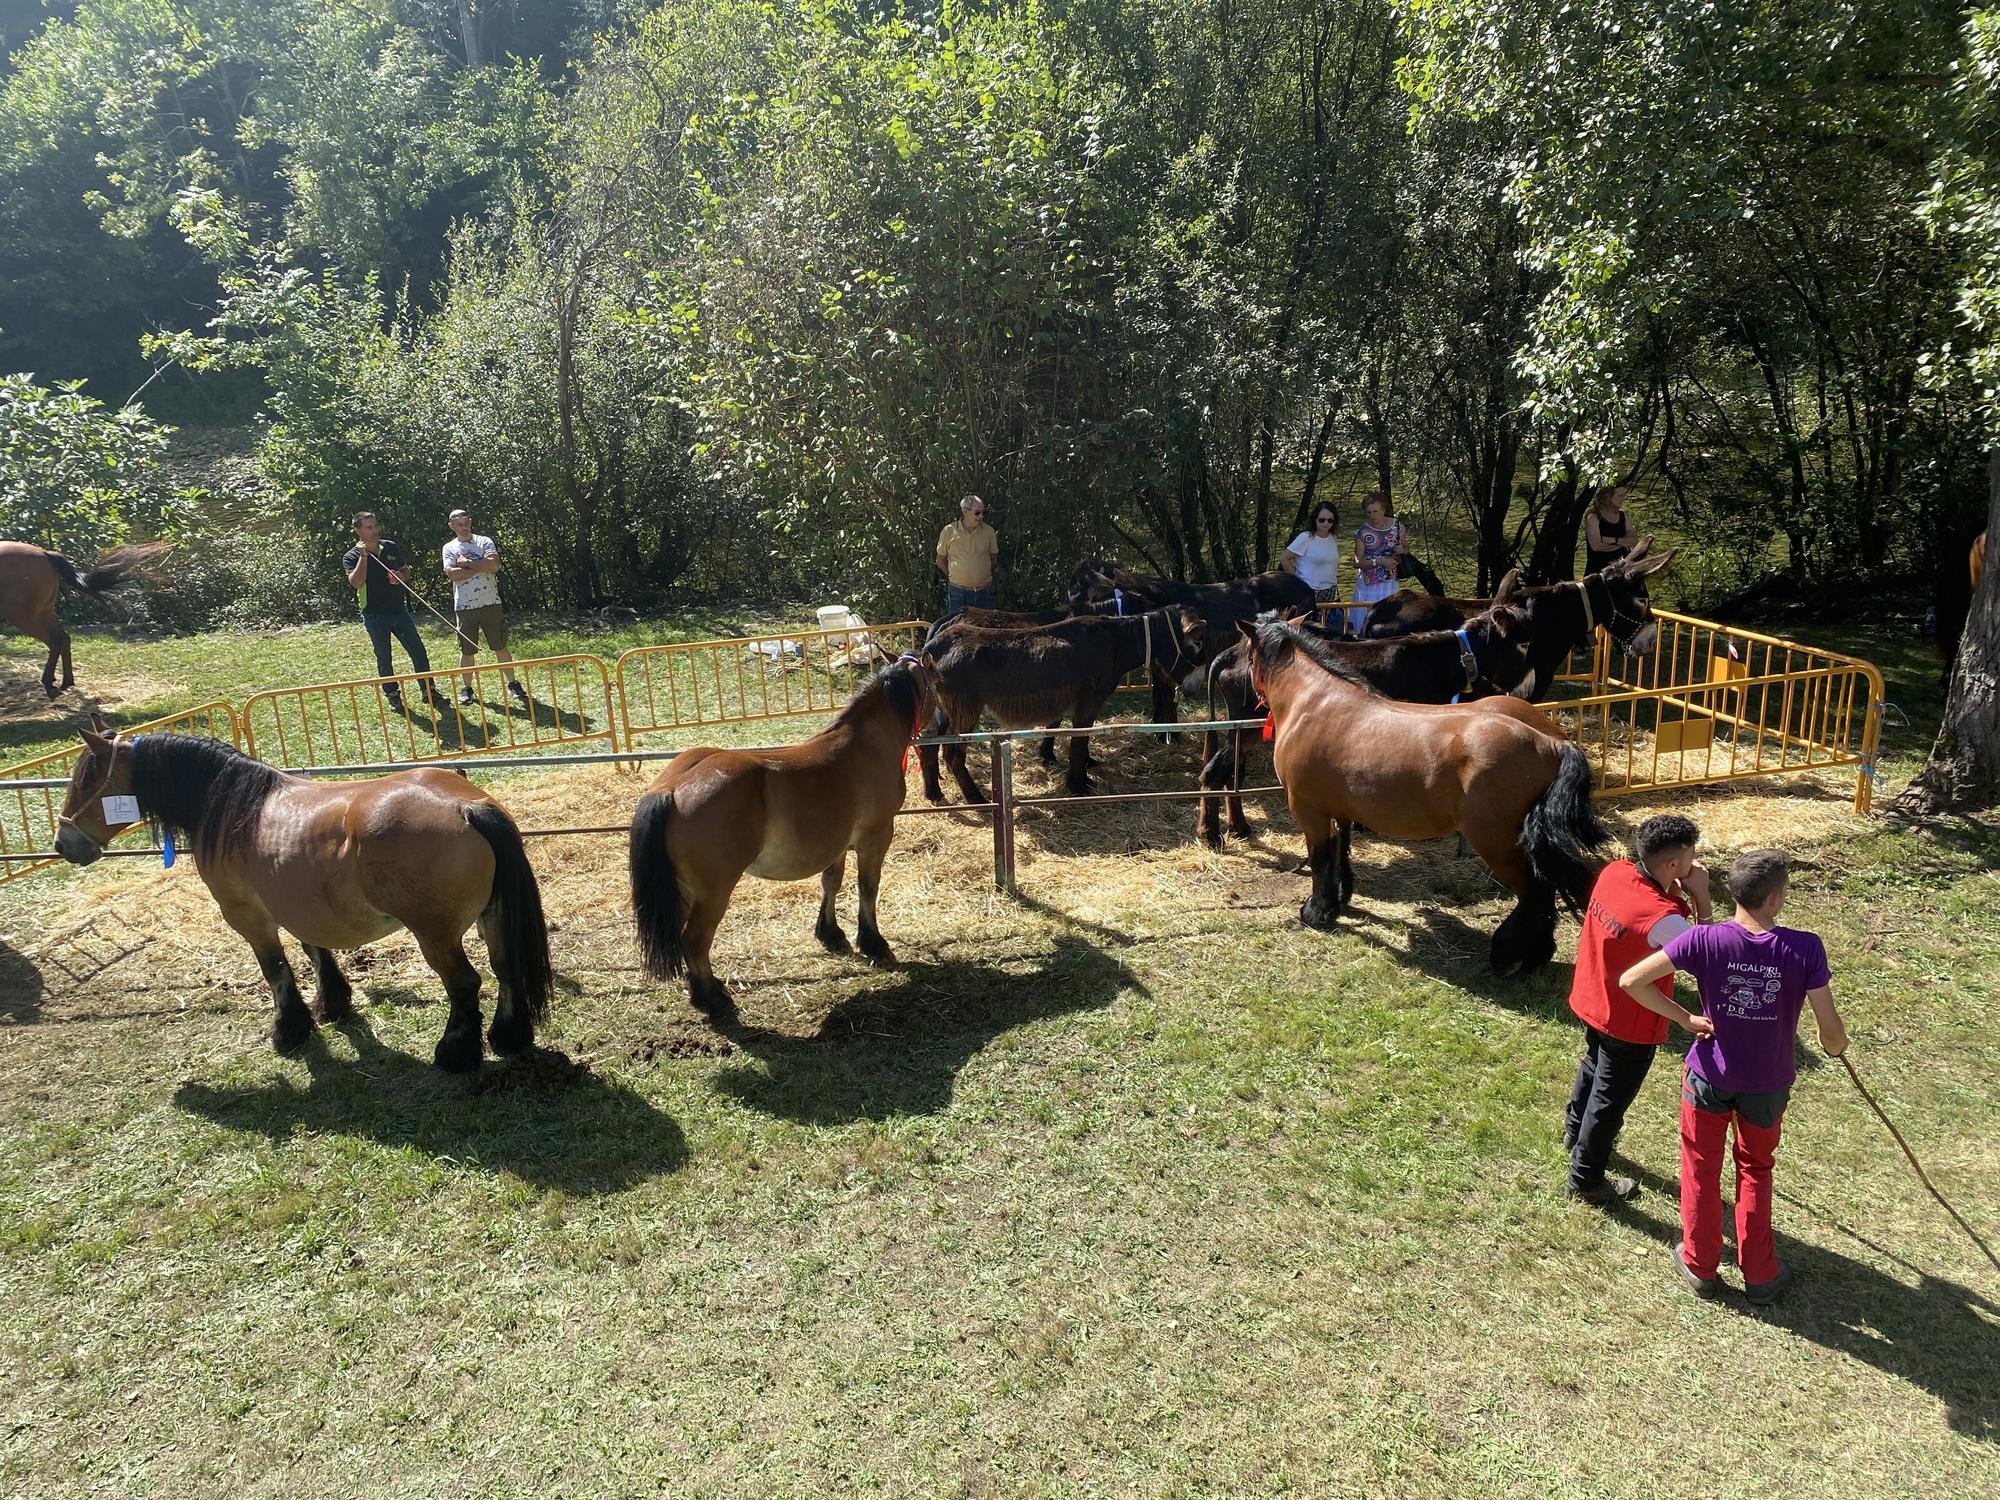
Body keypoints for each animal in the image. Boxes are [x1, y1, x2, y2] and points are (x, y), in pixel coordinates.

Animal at [0, 544, 174, 704]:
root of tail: (44, 553)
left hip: (27, 616)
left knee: (57, 640)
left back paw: (52, 683)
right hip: (43, 613)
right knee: (62, 639)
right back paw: (64, 682)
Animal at [56, 728, 556, 1072]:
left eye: (85, 779)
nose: (63, 843)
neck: (237, 809)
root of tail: (467, 807)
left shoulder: (249, 916)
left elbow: (276, 970)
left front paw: (290, 1029)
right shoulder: (298, 904)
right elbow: (316, 952)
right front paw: (332, 1005)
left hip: (435, 935)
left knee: (464, 984)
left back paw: (455, 1052)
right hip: (494, 916)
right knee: (506, 969)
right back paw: (508, 1036)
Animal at [624, 652, 936, 1032]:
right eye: (935, 680)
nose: (941, 723)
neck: (865, 743)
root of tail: (670, 788)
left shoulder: (836, 844)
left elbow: (831, 882)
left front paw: (831, 934)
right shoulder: (875, 837)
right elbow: (868, 888)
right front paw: (873, 942)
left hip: (681, 889)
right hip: (712, 893)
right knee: (694, 941)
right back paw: (713, 1000)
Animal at [1248, 620, 1608, 980]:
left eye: (1248, 654)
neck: (1317, 702)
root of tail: (1551, 743)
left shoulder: (1309, 810)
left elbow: (1321, 858)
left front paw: (1316, 912)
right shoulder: (1340, 809)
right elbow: (1342, 850)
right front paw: (1338, 900)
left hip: (1499, 845)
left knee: (1535, 892)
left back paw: (1509, 954)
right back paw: (1536, 955)